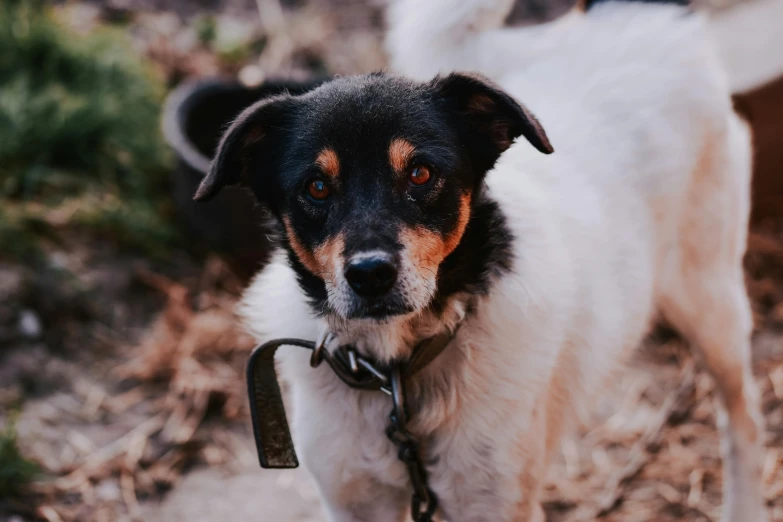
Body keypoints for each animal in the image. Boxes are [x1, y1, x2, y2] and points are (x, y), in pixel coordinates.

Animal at [194, 0, 764, 516]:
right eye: (316, 187)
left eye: (421, 173)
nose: (370, 276)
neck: (400, 379)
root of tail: (642, 12)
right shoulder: (353, 502)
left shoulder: (495, 503)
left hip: (711, 301)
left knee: (741, 415)